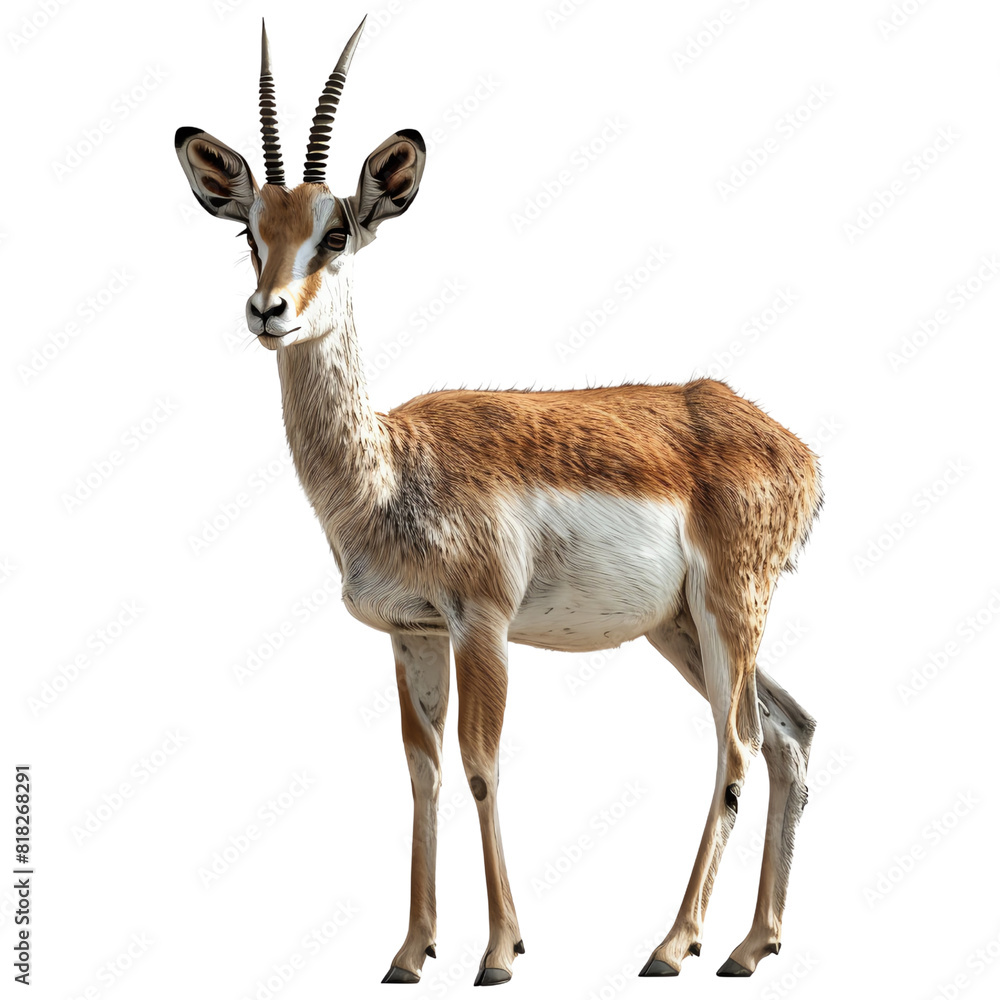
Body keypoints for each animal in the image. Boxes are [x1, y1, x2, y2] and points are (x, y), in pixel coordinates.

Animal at [175, 18, 822, 986]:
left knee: (737, 747)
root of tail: (790, 445)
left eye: (337, 232)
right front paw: (410, 953)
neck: (390, 472)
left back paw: (673, 947)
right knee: (790, 733)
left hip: (726, 610)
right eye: (253, 231)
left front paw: (500, 952)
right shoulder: (411, 633)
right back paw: (751, 946)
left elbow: (483, 766)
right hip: (678, 627)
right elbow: (423, 773)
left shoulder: (482, 622)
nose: (268, 310)